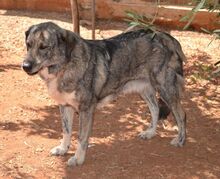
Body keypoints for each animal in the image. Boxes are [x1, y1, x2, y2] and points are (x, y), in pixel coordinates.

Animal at [21, 22, 186, 166]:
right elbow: (66, 131)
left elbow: (81, 137)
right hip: (144, 90)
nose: (25, 66)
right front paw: (63, 149)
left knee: (181, 114)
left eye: (44, 47)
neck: (64, 67)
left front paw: (78, 159)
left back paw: (180, 140)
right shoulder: (65, 106)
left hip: (165, 89)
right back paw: (150, 133)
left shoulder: (86, 110)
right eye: (28, 44)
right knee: (155, 109)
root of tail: (162, 35)